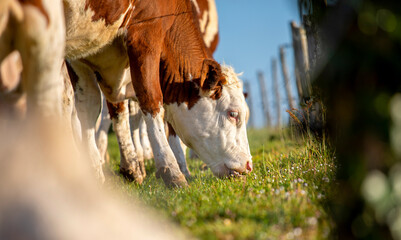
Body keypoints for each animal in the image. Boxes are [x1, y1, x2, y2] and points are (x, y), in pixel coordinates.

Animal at [65, 0, 253, 188]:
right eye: (233, 114)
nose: (249, 165)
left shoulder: (85, 57)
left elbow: (93, 107)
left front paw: (111, 171)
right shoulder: (145, 34)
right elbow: (151, 101)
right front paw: (174, 171)